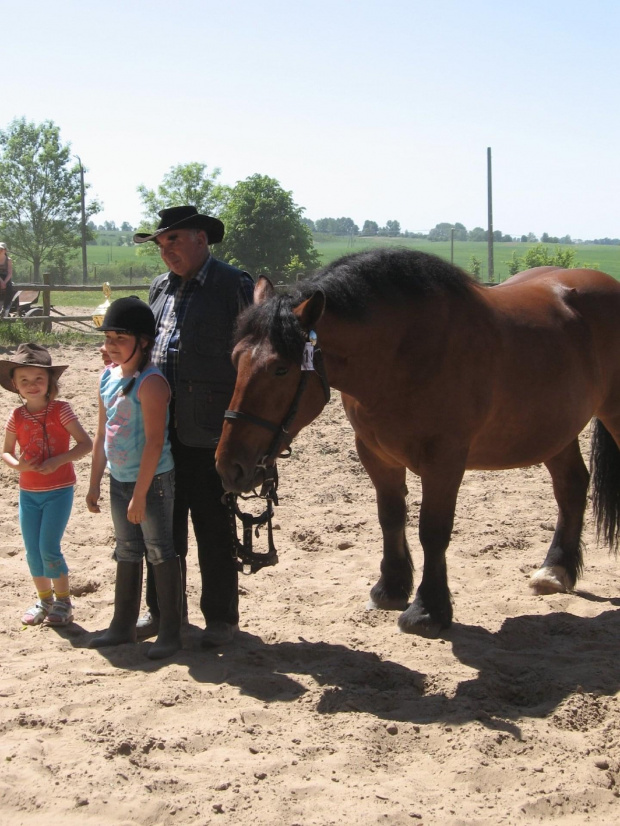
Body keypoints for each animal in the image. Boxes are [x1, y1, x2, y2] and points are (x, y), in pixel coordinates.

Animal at [216, 248, 620, 636]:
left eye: (281, 369)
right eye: (234, 359)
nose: (229, 467)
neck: (404, 352)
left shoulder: (444, 460)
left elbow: (433, 531)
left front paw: (428, 611)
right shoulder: (375, 454)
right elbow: (391, 517)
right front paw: (391, 589)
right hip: (555, 431)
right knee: (571, 486)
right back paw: (555, 571)